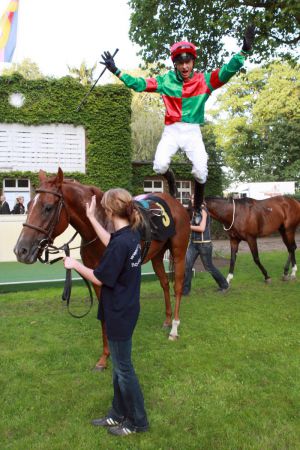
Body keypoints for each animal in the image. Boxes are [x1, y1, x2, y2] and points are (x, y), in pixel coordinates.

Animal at [14, 168, 190, 370]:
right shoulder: (97, 278)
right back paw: (167, 321)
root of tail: (174, 201)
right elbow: (105, 315)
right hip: (157, 256)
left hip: (179, 254)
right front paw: (105, 357)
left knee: (177, 287)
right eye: (28, 205)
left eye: (48, 207)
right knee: (164, 284)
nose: (21, 250)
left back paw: (174, 328)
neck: (102, 227)